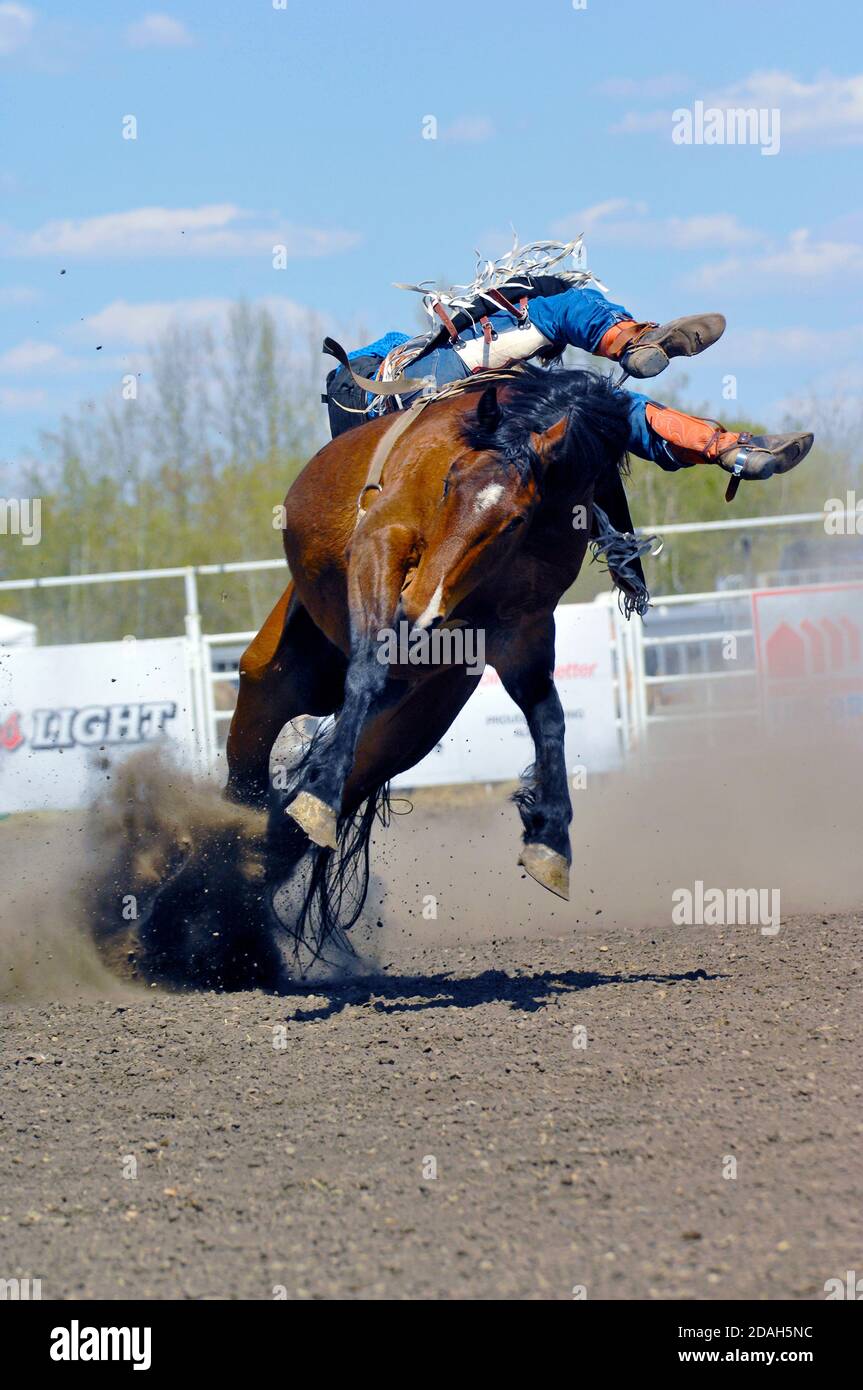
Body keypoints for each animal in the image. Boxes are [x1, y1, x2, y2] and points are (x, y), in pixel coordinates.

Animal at [221, 363, 642, 967]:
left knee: (288, 823)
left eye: (514, 520)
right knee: (249, 774)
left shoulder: (525, 630)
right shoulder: (380, 543)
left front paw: (551, 841)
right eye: (449, 481)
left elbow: (550, 719)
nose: (418, 610)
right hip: (278, 673)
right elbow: (368, 669)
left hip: (406, 730)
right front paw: (318, 797)